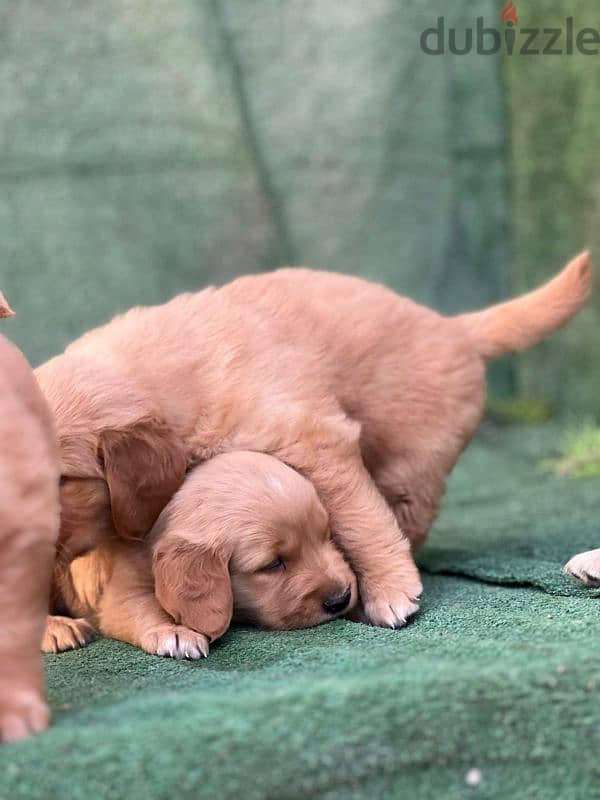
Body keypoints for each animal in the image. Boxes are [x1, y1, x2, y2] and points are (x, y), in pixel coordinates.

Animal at [50, 450, 356, 656]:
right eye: (272, 564)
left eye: (327, 536)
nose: (341, 599)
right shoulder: (121, 588)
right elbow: (139, 606)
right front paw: (173, 632)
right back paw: (58, 629)